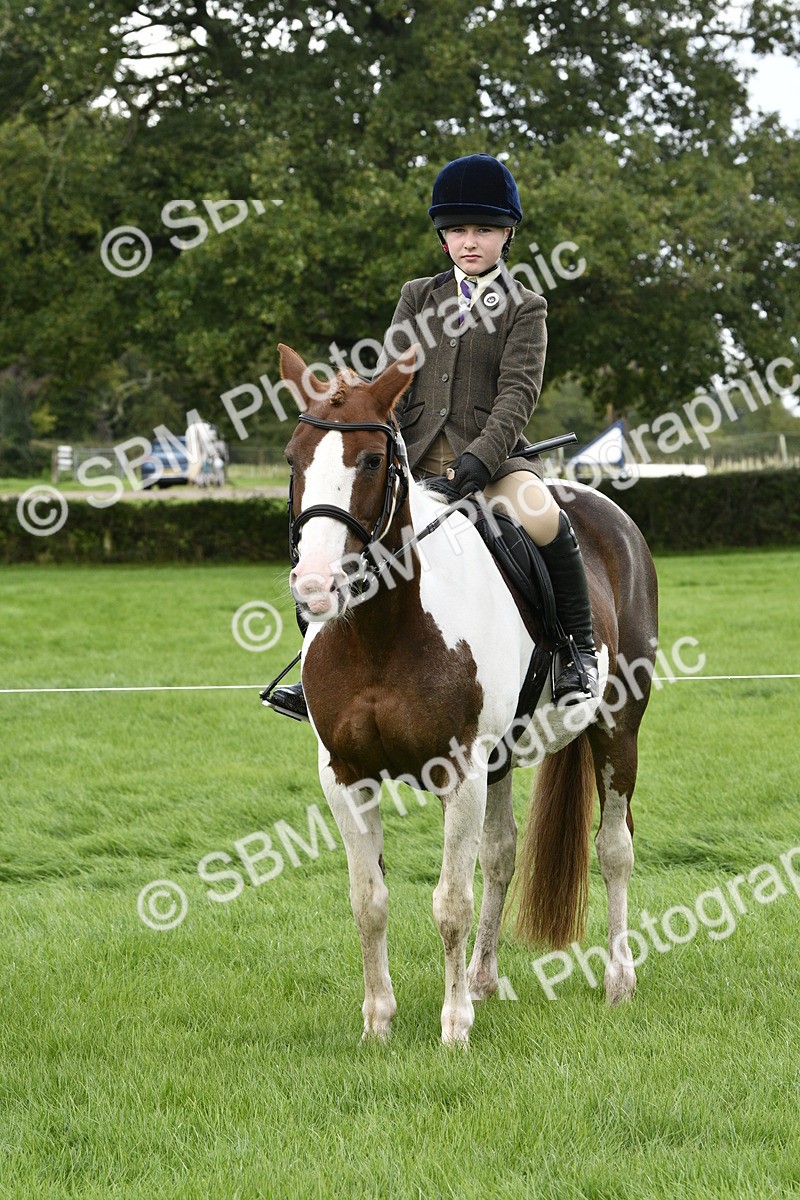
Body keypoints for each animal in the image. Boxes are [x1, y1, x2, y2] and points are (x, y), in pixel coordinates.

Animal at [278, 342, 659, 1045]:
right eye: (294, 458)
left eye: (371, 460)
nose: (314, 586)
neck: (381, 633)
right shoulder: (344, 775)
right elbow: (369, 901)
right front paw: (379, 1022)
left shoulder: (459, 769)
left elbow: (450, 901)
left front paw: (454, 1028)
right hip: (502, 758)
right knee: (503, 854)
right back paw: (483, 978)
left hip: (617, 727)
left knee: (614, 848)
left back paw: (618, 980)